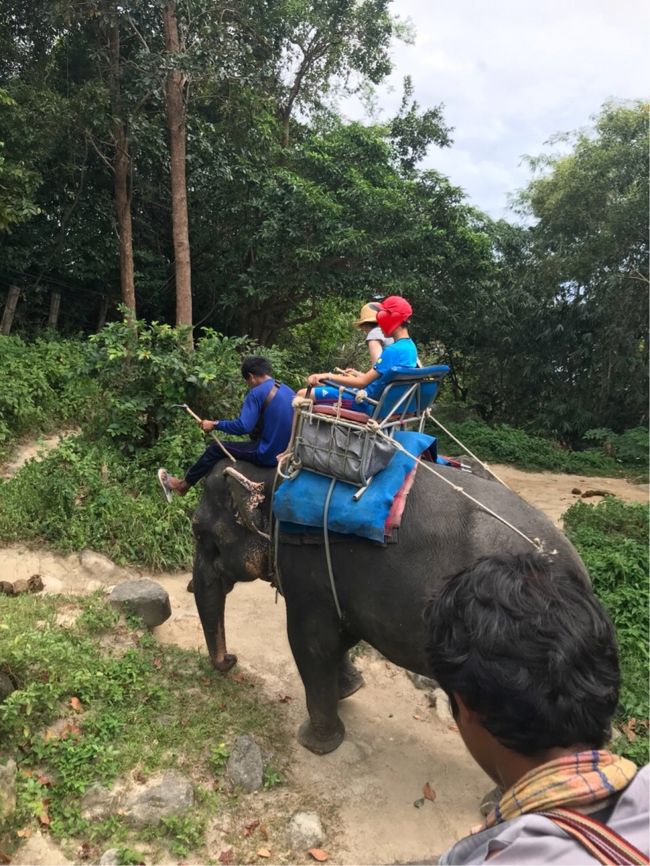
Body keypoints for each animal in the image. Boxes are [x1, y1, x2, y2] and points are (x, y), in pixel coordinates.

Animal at [190, 462, 584, 752]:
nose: (230, 660)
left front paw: (314, 744)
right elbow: (338, 637)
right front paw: (349, 690)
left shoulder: (306, 563)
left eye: (199, 533)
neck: (274, 475)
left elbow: (310, 643)